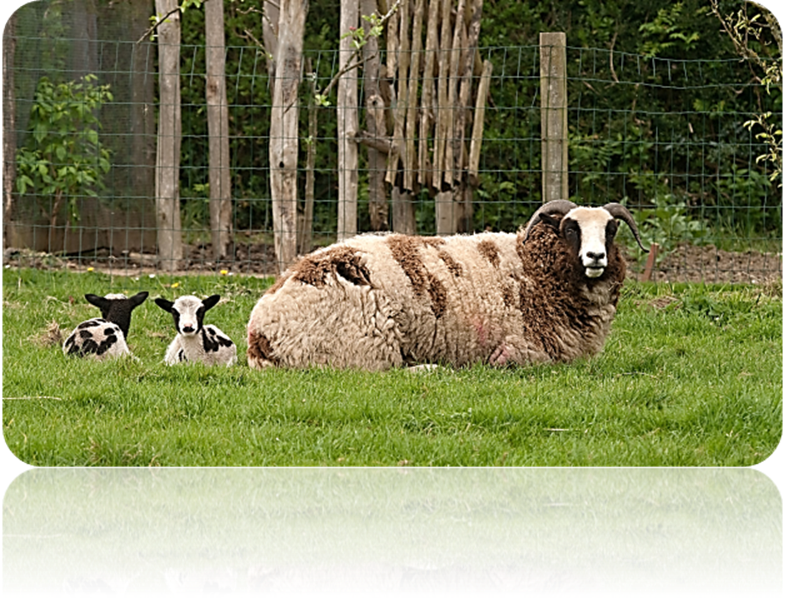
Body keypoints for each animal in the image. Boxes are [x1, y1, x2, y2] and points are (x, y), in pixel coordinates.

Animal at [246, 200, 647, 371]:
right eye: (569, 228)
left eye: (611, 230)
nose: (596, 257)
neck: (531, 269)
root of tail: (258, 333)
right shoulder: (529, 350)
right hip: (364, 346)